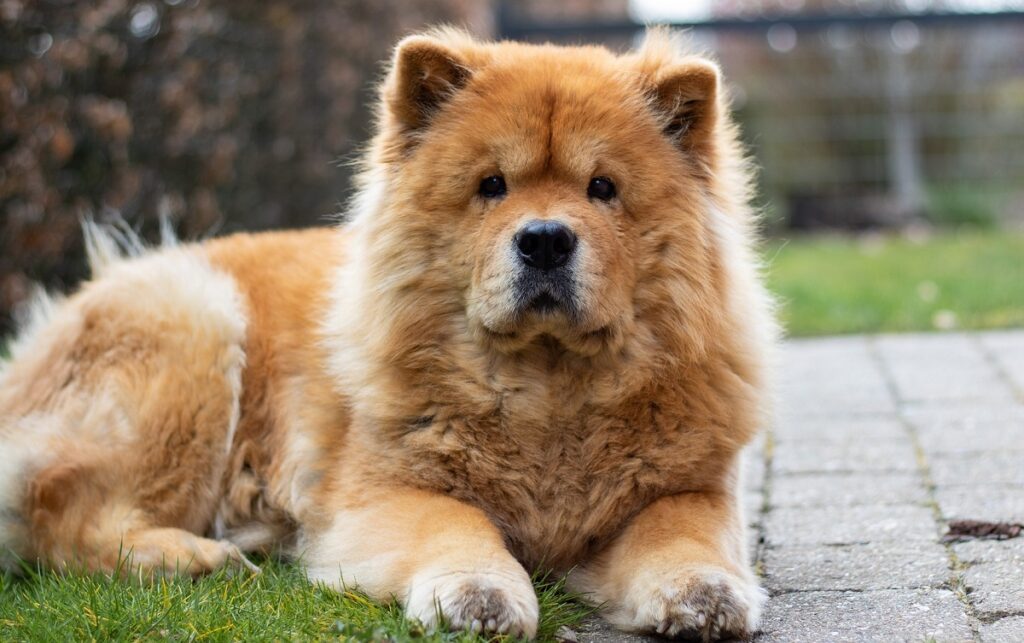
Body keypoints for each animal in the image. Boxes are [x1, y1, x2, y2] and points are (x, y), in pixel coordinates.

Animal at [0, 30, 774, 643]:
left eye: (603, 188)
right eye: (492, 185)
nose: (546, 240)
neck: (546, 390)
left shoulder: (690, 486)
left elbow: (680, 532)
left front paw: (703, 593)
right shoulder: (382, 491)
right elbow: (457, 523)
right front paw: (480, 593)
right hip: (195, 326)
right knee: (60, 515)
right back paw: (194, 559)